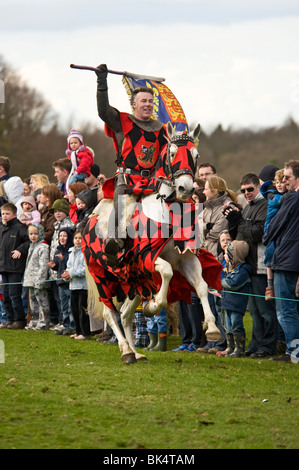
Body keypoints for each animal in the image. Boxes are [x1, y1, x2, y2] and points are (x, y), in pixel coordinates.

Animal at [83, 123, 224, 366]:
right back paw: (126, 351)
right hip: (101, 275)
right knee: (110, 313)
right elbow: (166, 273)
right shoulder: (146, 258)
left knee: (125, 314)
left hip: (133, 282)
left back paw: (136, 352)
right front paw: (153, 305)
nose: (186, 189)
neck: (168, 212)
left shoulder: (186, 258)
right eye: (172, 153)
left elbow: (202, 286)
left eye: (196, 155)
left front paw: (213, 328)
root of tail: (86, 223)